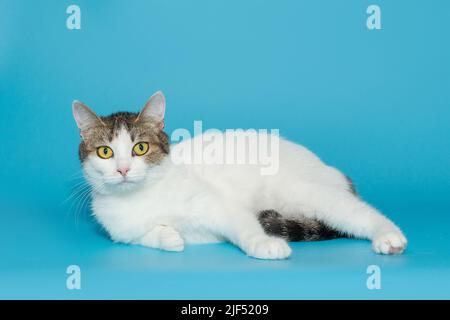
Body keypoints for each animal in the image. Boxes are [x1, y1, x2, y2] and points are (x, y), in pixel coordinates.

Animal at [72, 90, 406, 260]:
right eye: (105, 152)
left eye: (140, 148)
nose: (123, 169)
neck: (141, 198)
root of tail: (332, 171)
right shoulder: (123, 233)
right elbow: (145, 236)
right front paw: (168, 236)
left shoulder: (218, 205)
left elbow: (244, 226)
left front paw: (265, 245)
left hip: (306, 193)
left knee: (359, 212)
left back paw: (389, 237)